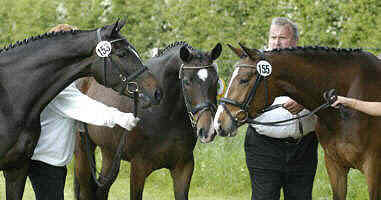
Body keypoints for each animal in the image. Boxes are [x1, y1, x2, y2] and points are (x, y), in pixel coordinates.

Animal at [73, 41, 221, 199]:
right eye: (187, 82)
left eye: (216, 81)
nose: (207, 130)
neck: (166, 115)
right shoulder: (138, 167)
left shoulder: (183, 167)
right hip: (83, 150)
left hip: (110, 154)